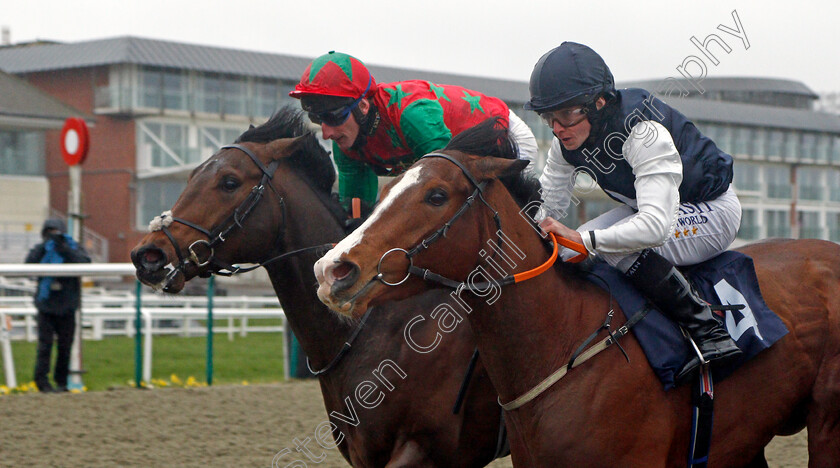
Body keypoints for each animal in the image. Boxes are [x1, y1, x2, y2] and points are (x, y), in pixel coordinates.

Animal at [130, 110, 506, 468]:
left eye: (229, 182)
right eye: (192, 176)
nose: (148, 256)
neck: (381, 326)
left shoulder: (429, 450)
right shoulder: (363, 452)